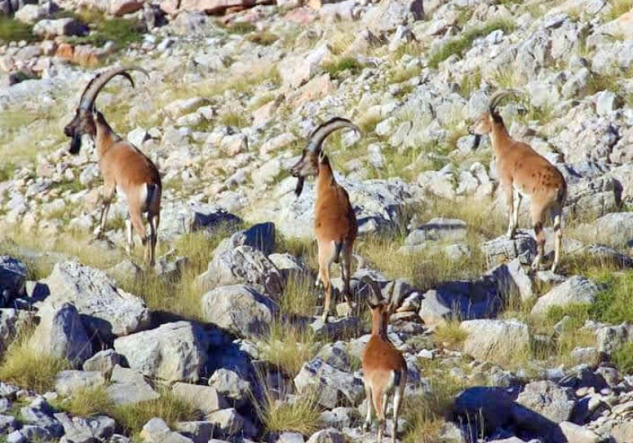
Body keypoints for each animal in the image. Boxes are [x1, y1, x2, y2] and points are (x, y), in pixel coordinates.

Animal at [63, 66, 162, 268]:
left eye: (81, 115)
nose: (67, 130)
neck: (109, 144)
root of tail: (151, 183)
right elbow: (126, 222)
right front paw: (129, 249)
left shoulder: (109, 181)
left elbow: (105, 203)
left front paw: (98, 232)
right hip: (154, 211)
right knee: (154, 235)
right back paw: (151, 263)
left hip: (137, 209)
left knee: (145, 236)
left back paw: (146, 265)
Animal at [288, 118, 358, 322]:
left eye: (308, 158)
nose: (293, 170)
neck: (329, 186)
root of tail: (340, 238)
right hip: (347, 254)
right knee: (346, 281)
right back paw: (349, 310)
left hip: (325, 256)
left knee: (329, 284)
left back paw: (325, 314)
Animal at [358, 278, 408, 443]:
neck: (379, 336)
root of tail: (396, 369)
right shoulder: (388, 394)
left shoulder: (367, 383)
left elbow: (368, 401)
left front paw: (366, 425)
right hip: (399, 392)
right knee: (394, 421)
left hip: (378, 393)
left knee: (382, 420)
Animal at [470, 89, 568, 274]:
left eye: (482, 119)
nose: (470, 129)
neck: (505, 148)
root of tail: (560, 186)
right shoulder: (519, 190)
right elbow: (516, 205)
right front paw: (514, 231)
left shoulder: (507, 183)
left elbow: (509, 206)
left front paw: (510, 234)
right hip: (557, 207)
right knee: (558, 234)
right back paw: (553, 267)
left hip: (537, 209)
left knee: (542, 238)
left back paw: (535, 266)